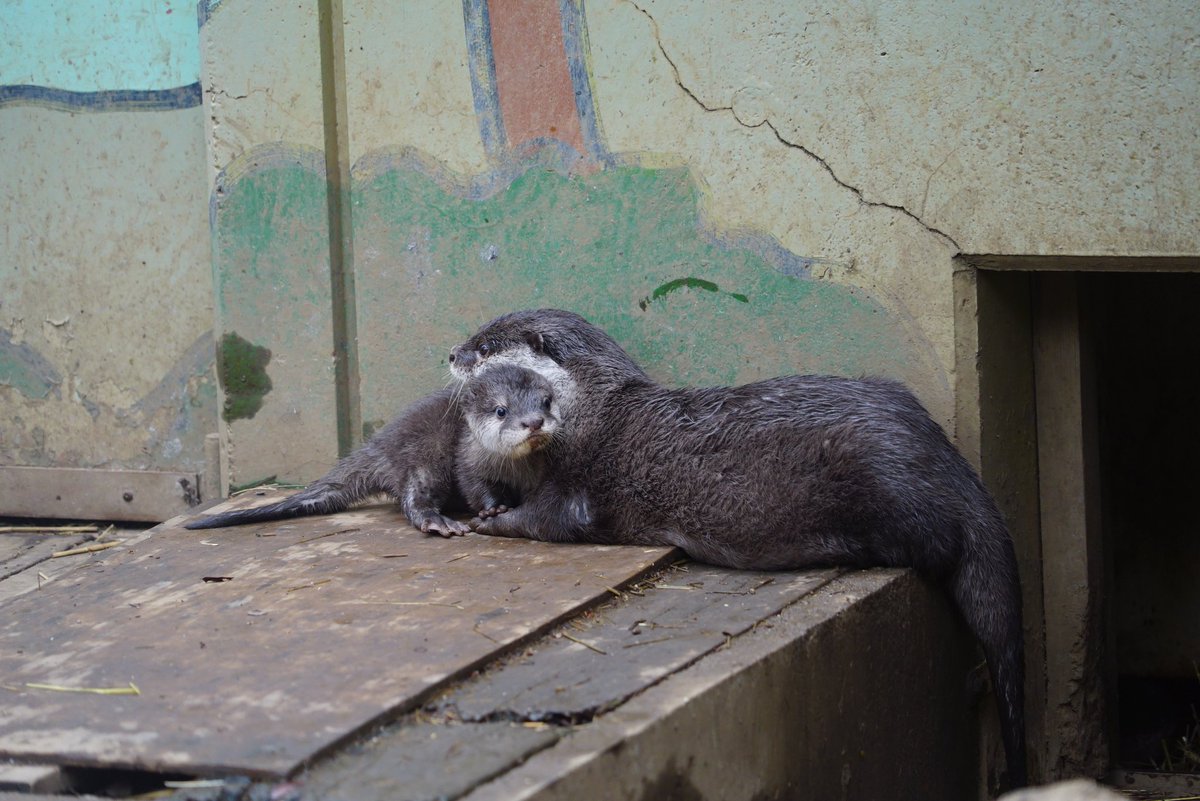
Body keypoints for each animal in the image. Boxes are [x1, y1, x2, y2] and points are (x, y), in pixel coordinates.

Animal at [184, 362, 564, 532]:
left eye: (546, 402)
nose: (533, 422)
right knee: (413, 497)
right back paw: (436, 520)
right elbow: (476, 487)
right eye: (501, 410)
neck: (514, 468)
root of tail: (379, 446)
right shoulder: (466, 459)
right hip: (424, 458)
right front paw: (493, 509)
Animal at [446, 306, 1027, 786]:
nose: (451, 353)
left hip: (886, 482)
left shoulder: (578, 489)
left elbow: (549, 520)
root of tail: (949, 464)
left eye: (486, 344)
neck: (590, 415)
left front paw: (491, 521)